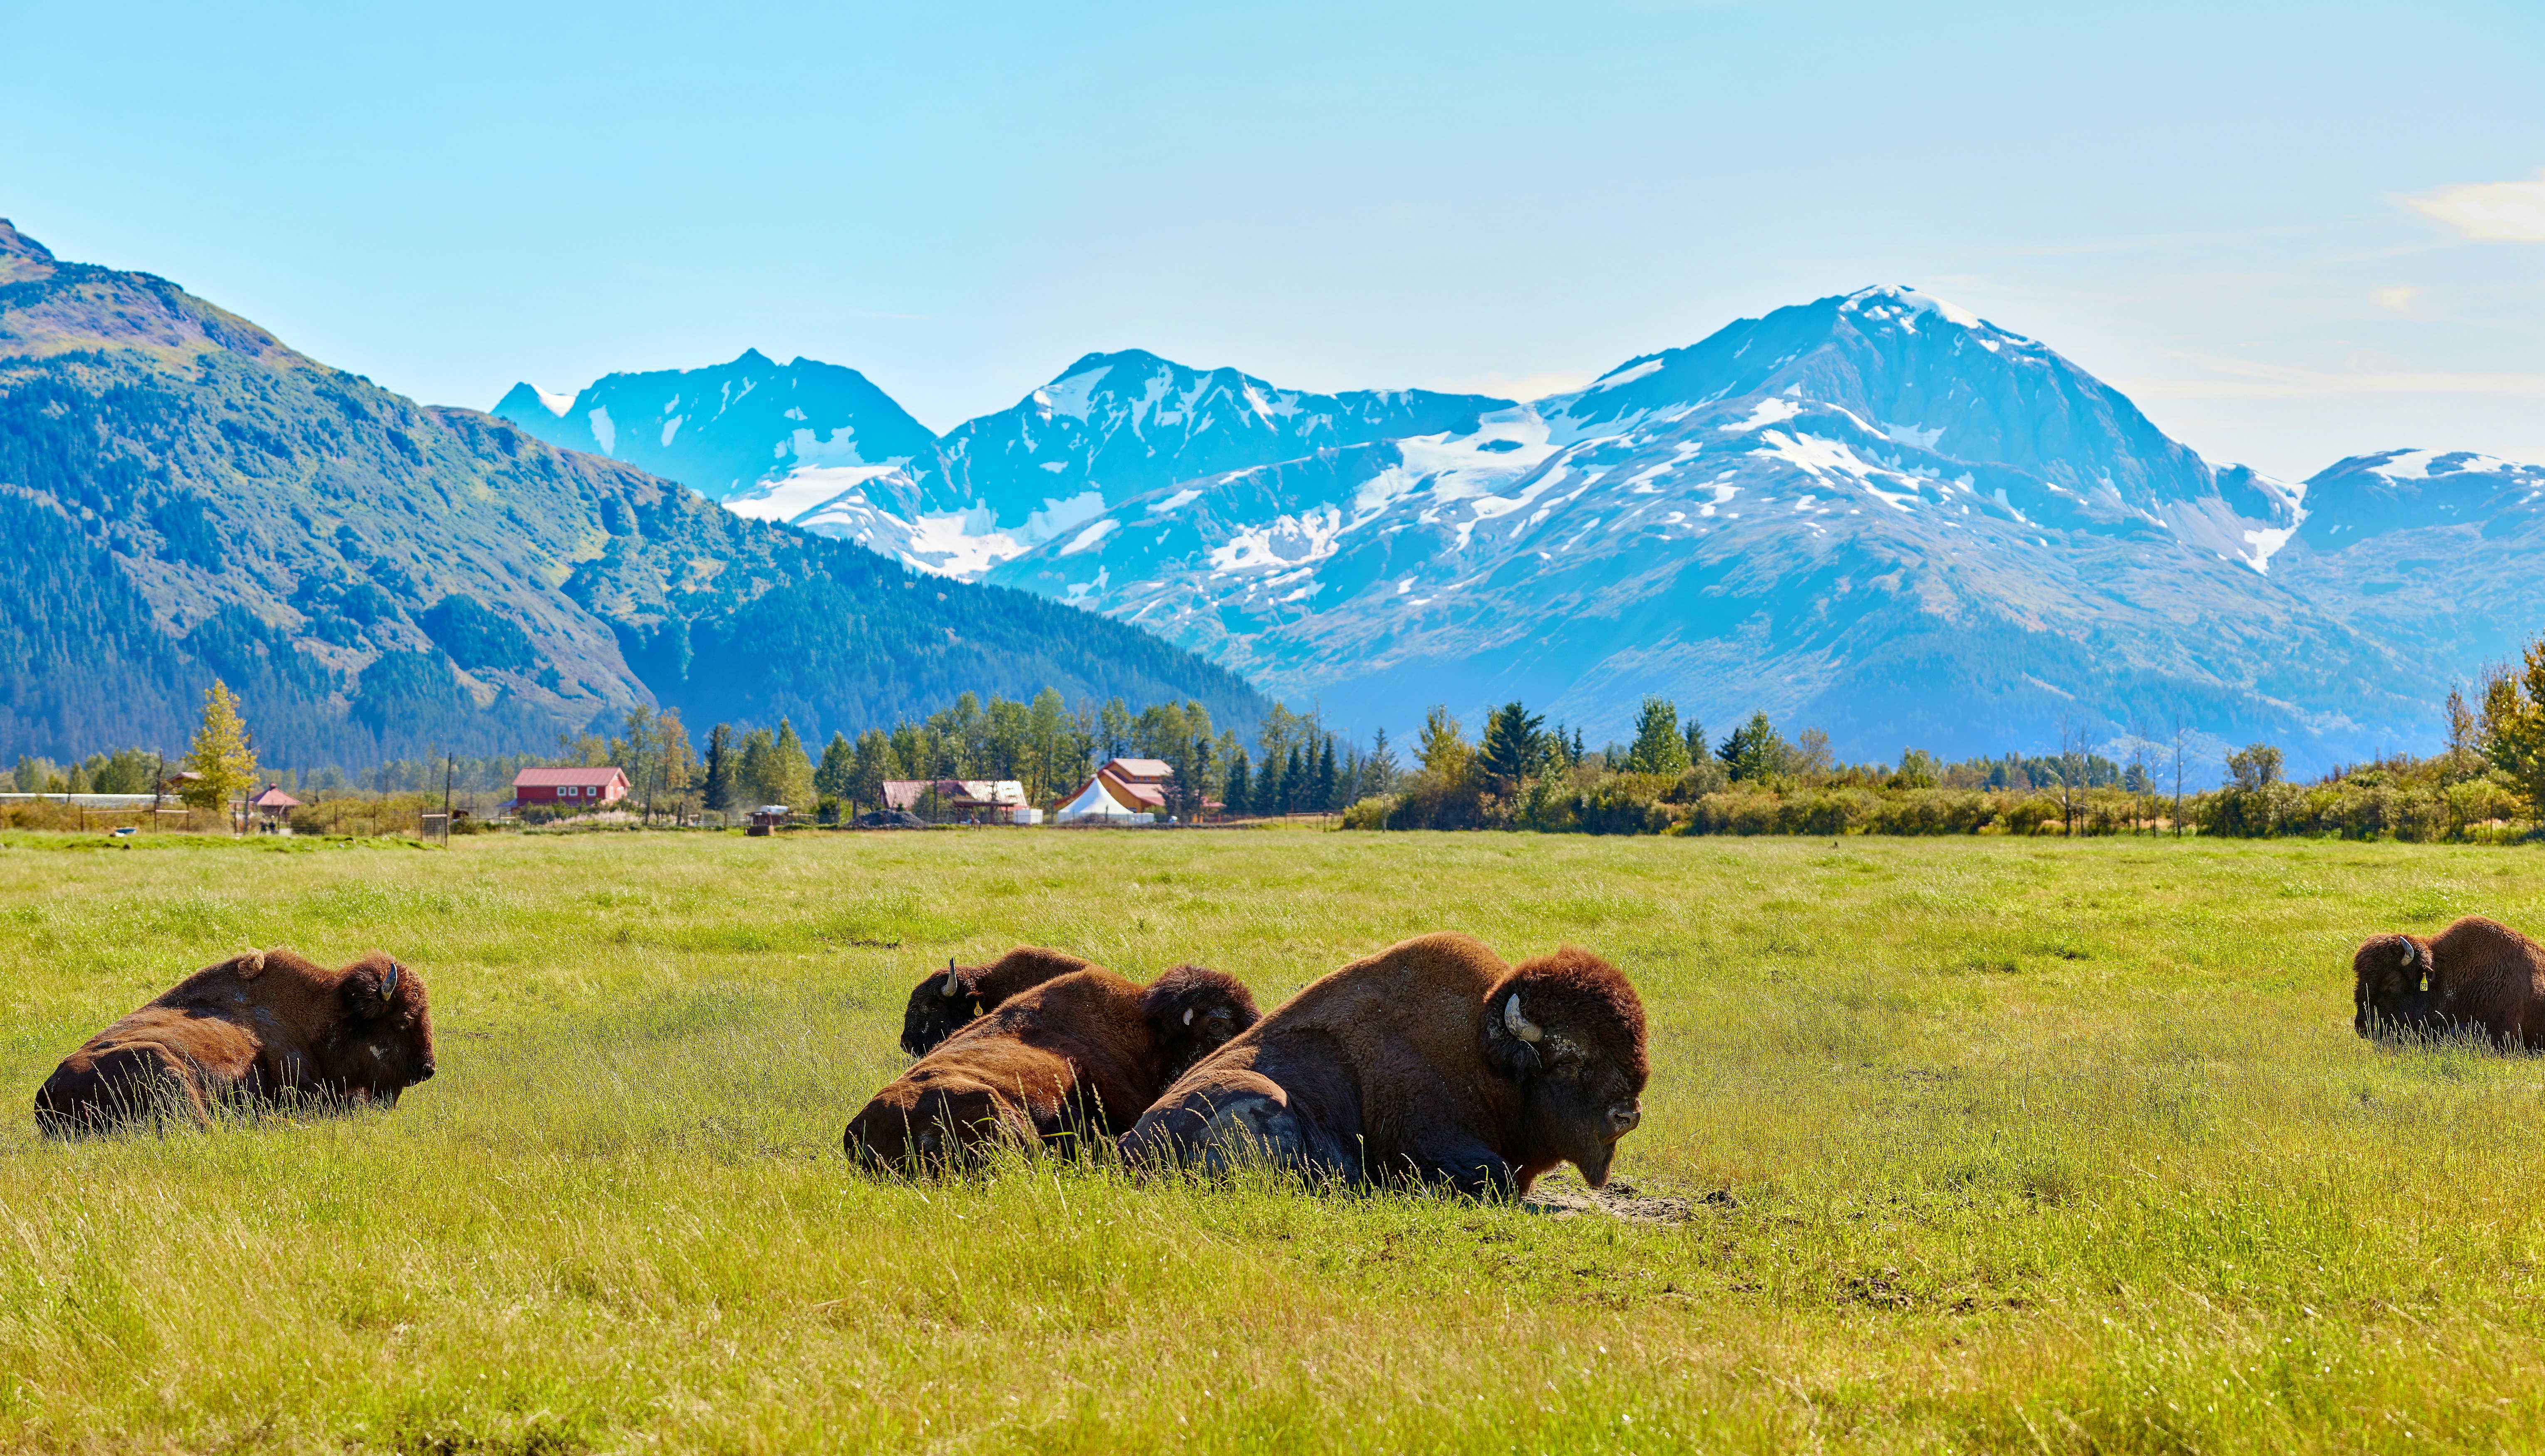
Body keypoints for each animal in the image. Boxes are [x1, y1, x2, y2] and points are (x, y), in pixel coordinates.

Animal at [1120, 932, 1647, 1198]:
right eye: (1568, 1059)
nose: (1626, 1115)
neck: (1481, 1053)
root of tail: (1128, 1145)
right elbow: (1495, 1176)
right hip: (1261, 1096)